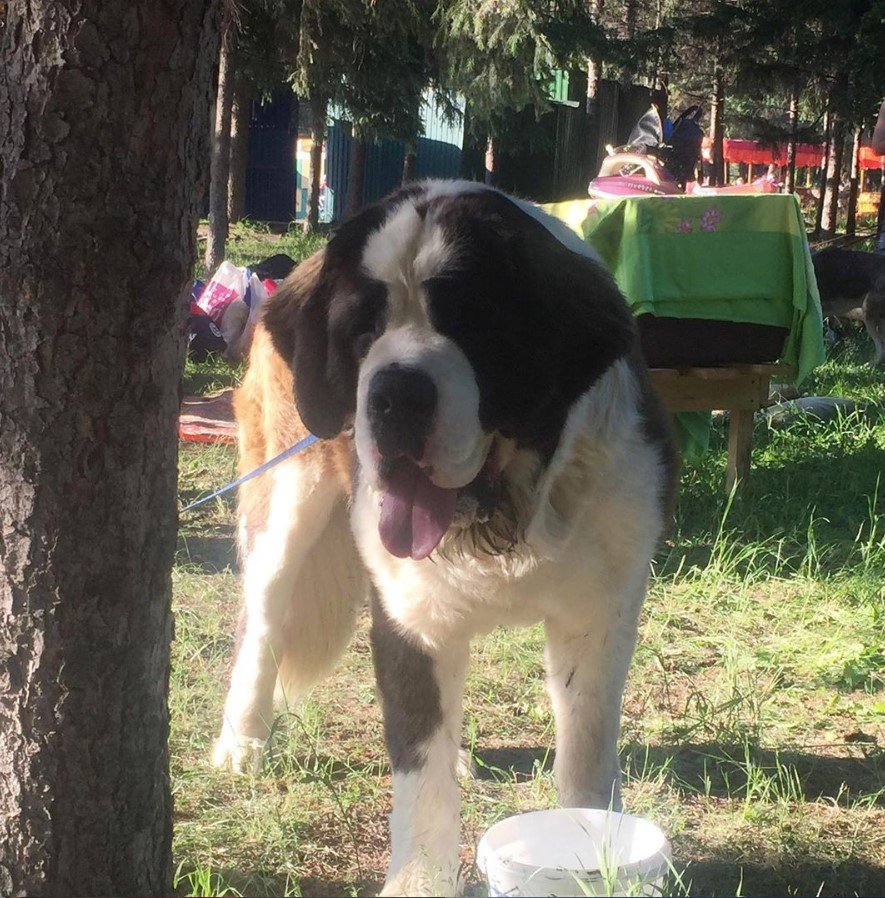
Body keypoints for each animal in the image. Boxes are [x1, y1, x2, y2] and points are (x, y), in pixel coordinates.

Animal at [212, 178, 676, 892]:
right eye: (363, 330)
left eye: (471, 323)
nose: (396, 395)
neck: (508, 515)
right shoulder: (409, 618)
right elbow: (418, 770)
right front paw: (421, 879)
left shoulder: (600, 611)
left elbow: (587, 746)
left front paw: (594, 849)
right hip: (286, 496)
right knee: (262, 623)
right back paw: (242, 739)